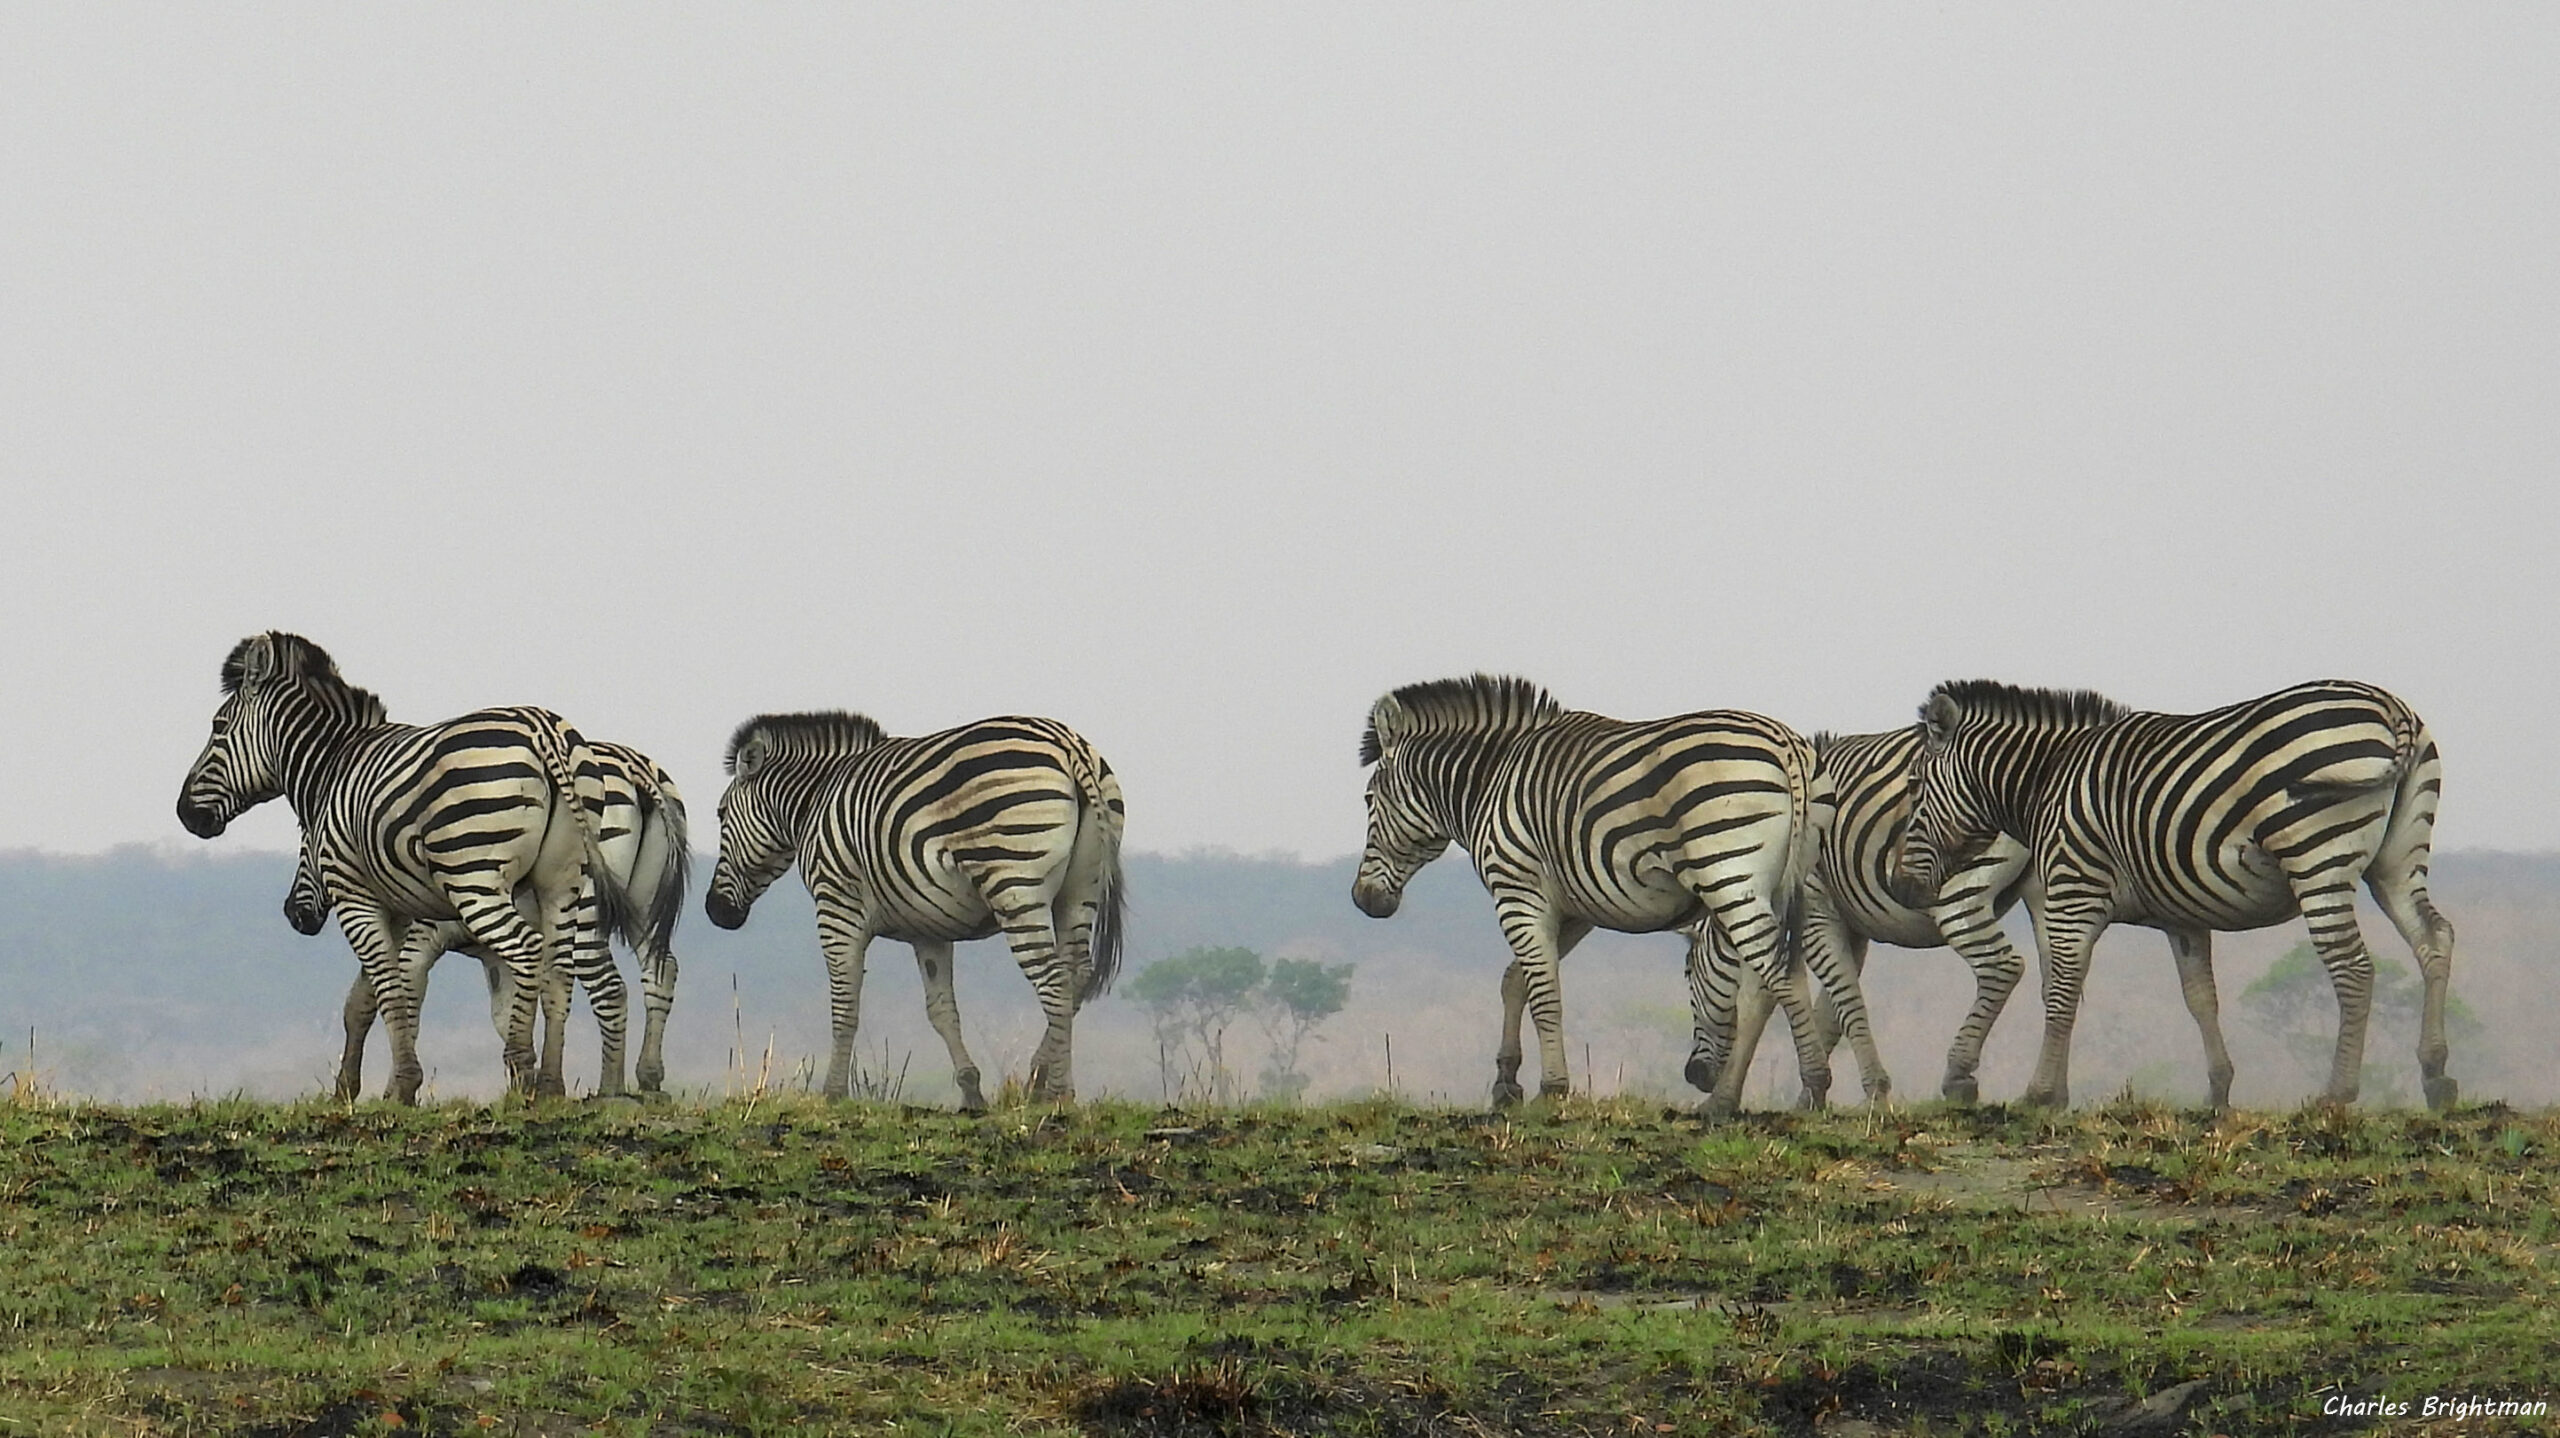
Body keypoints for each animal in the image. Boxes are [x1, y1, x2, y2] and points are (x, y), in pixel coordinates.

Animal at [178, 631, 630, 1103]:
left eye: (219, 727)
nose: (184, 813)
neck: (332, 764)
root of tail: (542, 728)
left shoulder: (355, 897)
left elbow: (390, 989)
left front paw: (401, 1089)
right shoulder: (399, 911)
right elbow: (368, 999)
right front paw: (350, 1089)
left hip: (475, 877)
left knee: (527, 951)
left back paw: (523, 1073)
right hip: (562, 880)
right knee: (558, 971)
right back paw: (550, 1086)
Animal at [285, 739, 689, 1100]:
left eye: (307, 845)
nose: (293, 914)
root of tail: (635, 768)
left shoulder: (418, 940)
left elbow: (401, 1003)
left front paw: (394, 1093)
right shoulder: (491, 957)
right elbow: (502, 1013)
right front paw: (520, 1086)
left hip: (586, 908)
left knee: (610, 986)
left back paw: (610, 1089)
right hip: (643, 906)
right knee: (661, 969)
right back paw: (648, 1077)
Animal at [703, 710, 1126, 1108]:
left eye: (721, 813)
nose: (715, 912)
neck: (816, 799)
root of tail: (1068, 744)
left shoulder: (836, 903)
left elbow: (845, 1004)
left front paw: (833, 1094)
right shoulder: (929, 927)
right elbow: (941, 1011)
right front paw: (971, 1092)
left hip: (1013, 883)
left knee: (1054, 980)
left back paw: (1056, 1093)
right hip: (1079, 891)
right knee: (1077, 974)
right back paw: (1037, 1081)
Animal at [1350, 674, 1880, 1113]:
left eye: (1369, 799)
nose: (1362, 901)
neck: (1490, 780)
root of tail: (1787, 744)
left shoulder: (1517, 888)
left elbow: (1544, 992)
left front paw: (1552, 1090)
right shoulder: (1571, 907)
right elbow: (1517, 981)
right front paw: (1506, 1083)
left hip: (1728, 873)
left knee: (1777, 975)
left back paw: (1813, 1084)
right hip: (1802, 881)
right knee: (1784, 972)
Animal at [1893, 678, 2459, 1110]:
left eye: (1916, 785)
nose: (1901, 886)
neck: (2047, 778)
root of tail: (2390, 706)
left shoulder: (2074, 890)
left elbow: (2062, 990)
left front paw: (2041, 1095)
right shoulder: (2182, 915)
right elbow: (2199, 998)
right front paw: (2218, 1093)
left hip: (2316, 856)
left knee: (2353, 967)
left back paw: (2336, 1094)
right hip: (2397, 860)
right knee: (2433, 938)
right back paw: (2436, 1077)